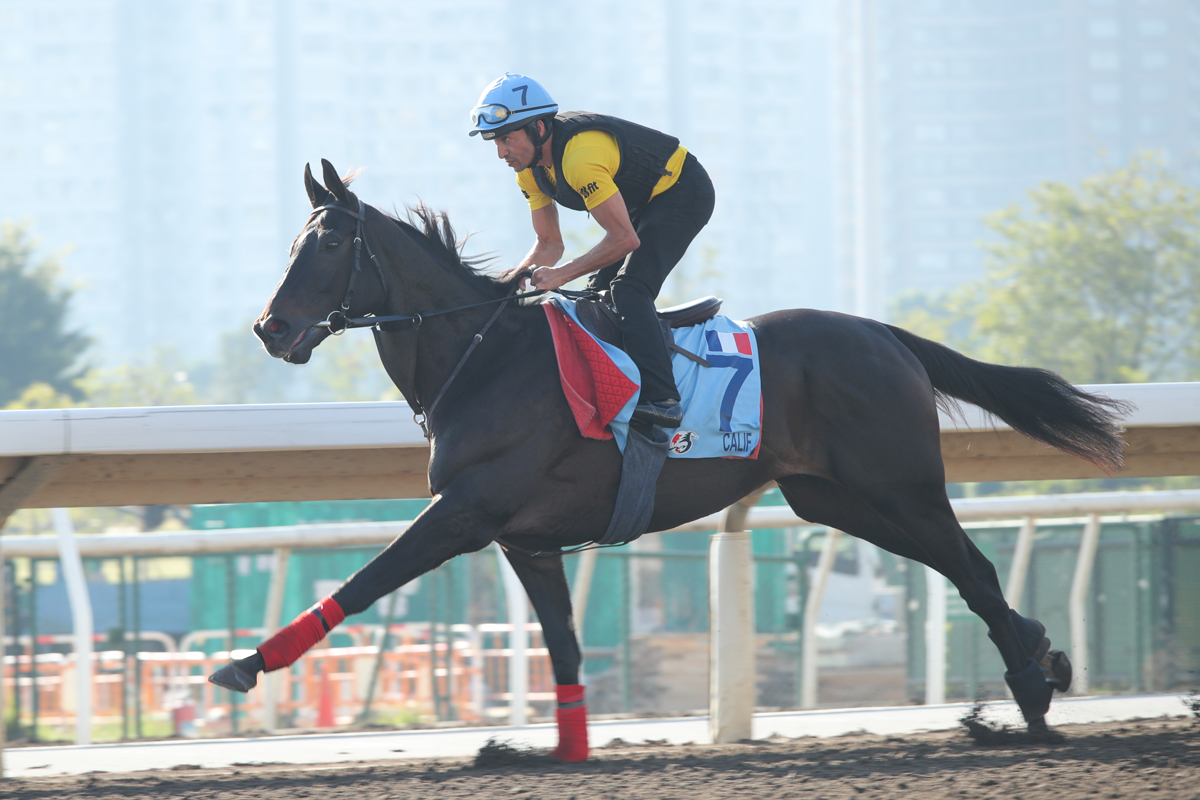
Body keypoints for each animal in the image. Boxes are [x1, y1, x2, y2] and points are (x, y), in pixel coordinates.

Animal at [213, 158, 1123, 758]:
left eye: (329, 247)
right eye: (296, 243)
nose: (270, 328)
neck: (483, 357)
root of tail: (882, 333)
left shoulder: (465, 512)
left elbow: (365, 582)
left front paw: (245, 665)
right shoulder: (526, 540)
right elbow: (564, 643)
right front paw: (565, 750)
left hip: (899, 486)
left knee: (972, 565)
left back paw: (1032, 690)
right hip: (833, 497)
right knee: (965, 567)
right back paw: (1041, 654)